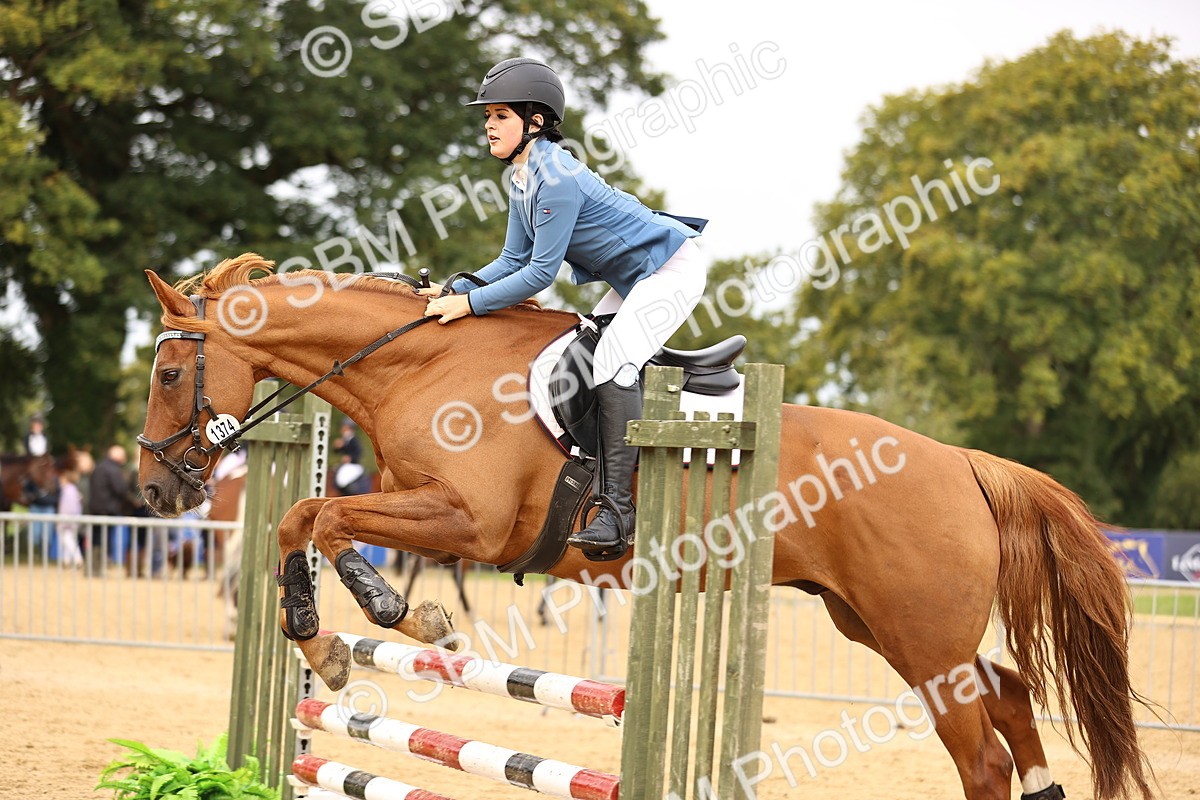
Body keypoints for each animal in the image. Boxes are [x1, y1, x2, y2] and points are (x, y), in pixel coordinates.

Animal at [137, 254, 1152, 800]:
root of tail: (962, 462)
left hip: (918, 632)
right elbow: (302, 517)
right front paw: (330, 640)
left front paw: (392, 622)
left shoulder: (470, 523)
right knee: (1011, 696)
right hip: (879, 622)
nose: (152, 488)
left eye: (167, 374)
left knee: (979, 750)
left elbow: (325, 515)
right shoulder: (428, 517)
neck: (419, 364)